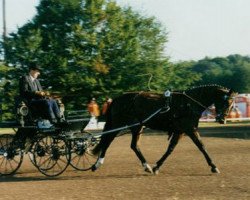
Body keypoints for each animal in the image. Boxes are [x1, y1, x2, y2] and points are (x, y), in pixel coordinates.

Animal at [92, 85, 236, 174]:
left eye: (232, 104)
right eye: (226, 102)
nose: (222, 120)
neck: (188, 104)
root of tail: (117, 99)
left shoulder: (180, 131)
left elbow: (170, 149)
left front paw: (157, 166)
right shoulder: (190, 129)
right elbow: (202, 146)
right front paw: (214, 166)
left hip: (137, 126)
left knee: (134, 146)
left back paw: (147, 166)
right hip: (119, 125)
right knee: (107, 141)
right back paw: (97, 164)